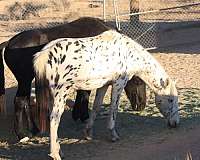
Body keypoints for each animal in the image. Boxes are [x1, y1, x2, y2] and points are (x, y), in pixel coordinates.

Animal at [0, 16, 146, 140]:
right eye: (139, 81)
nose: (142, 105)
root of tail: (9, 43)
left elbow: (82, 94)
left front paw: (79, 115)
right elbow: (85, 94)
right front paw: (84, 116)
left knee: (25, 102)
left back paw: (33, 130)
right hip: (24, 80)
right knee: (20, 101)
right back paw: (22, 134)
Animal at [33, 29, 180, 159]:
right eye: (171, 100)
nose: (176, 123)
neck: (129, 54)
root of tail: (44, 55)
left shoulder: (104, 86)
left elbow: (96, 107)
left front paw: (88, 133)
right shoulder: (118, 84)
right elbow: (113, 110)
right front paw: (113, 135)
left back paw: (59, 151)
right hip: (60, 94)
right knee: (54, 119)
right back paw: (55, 154)